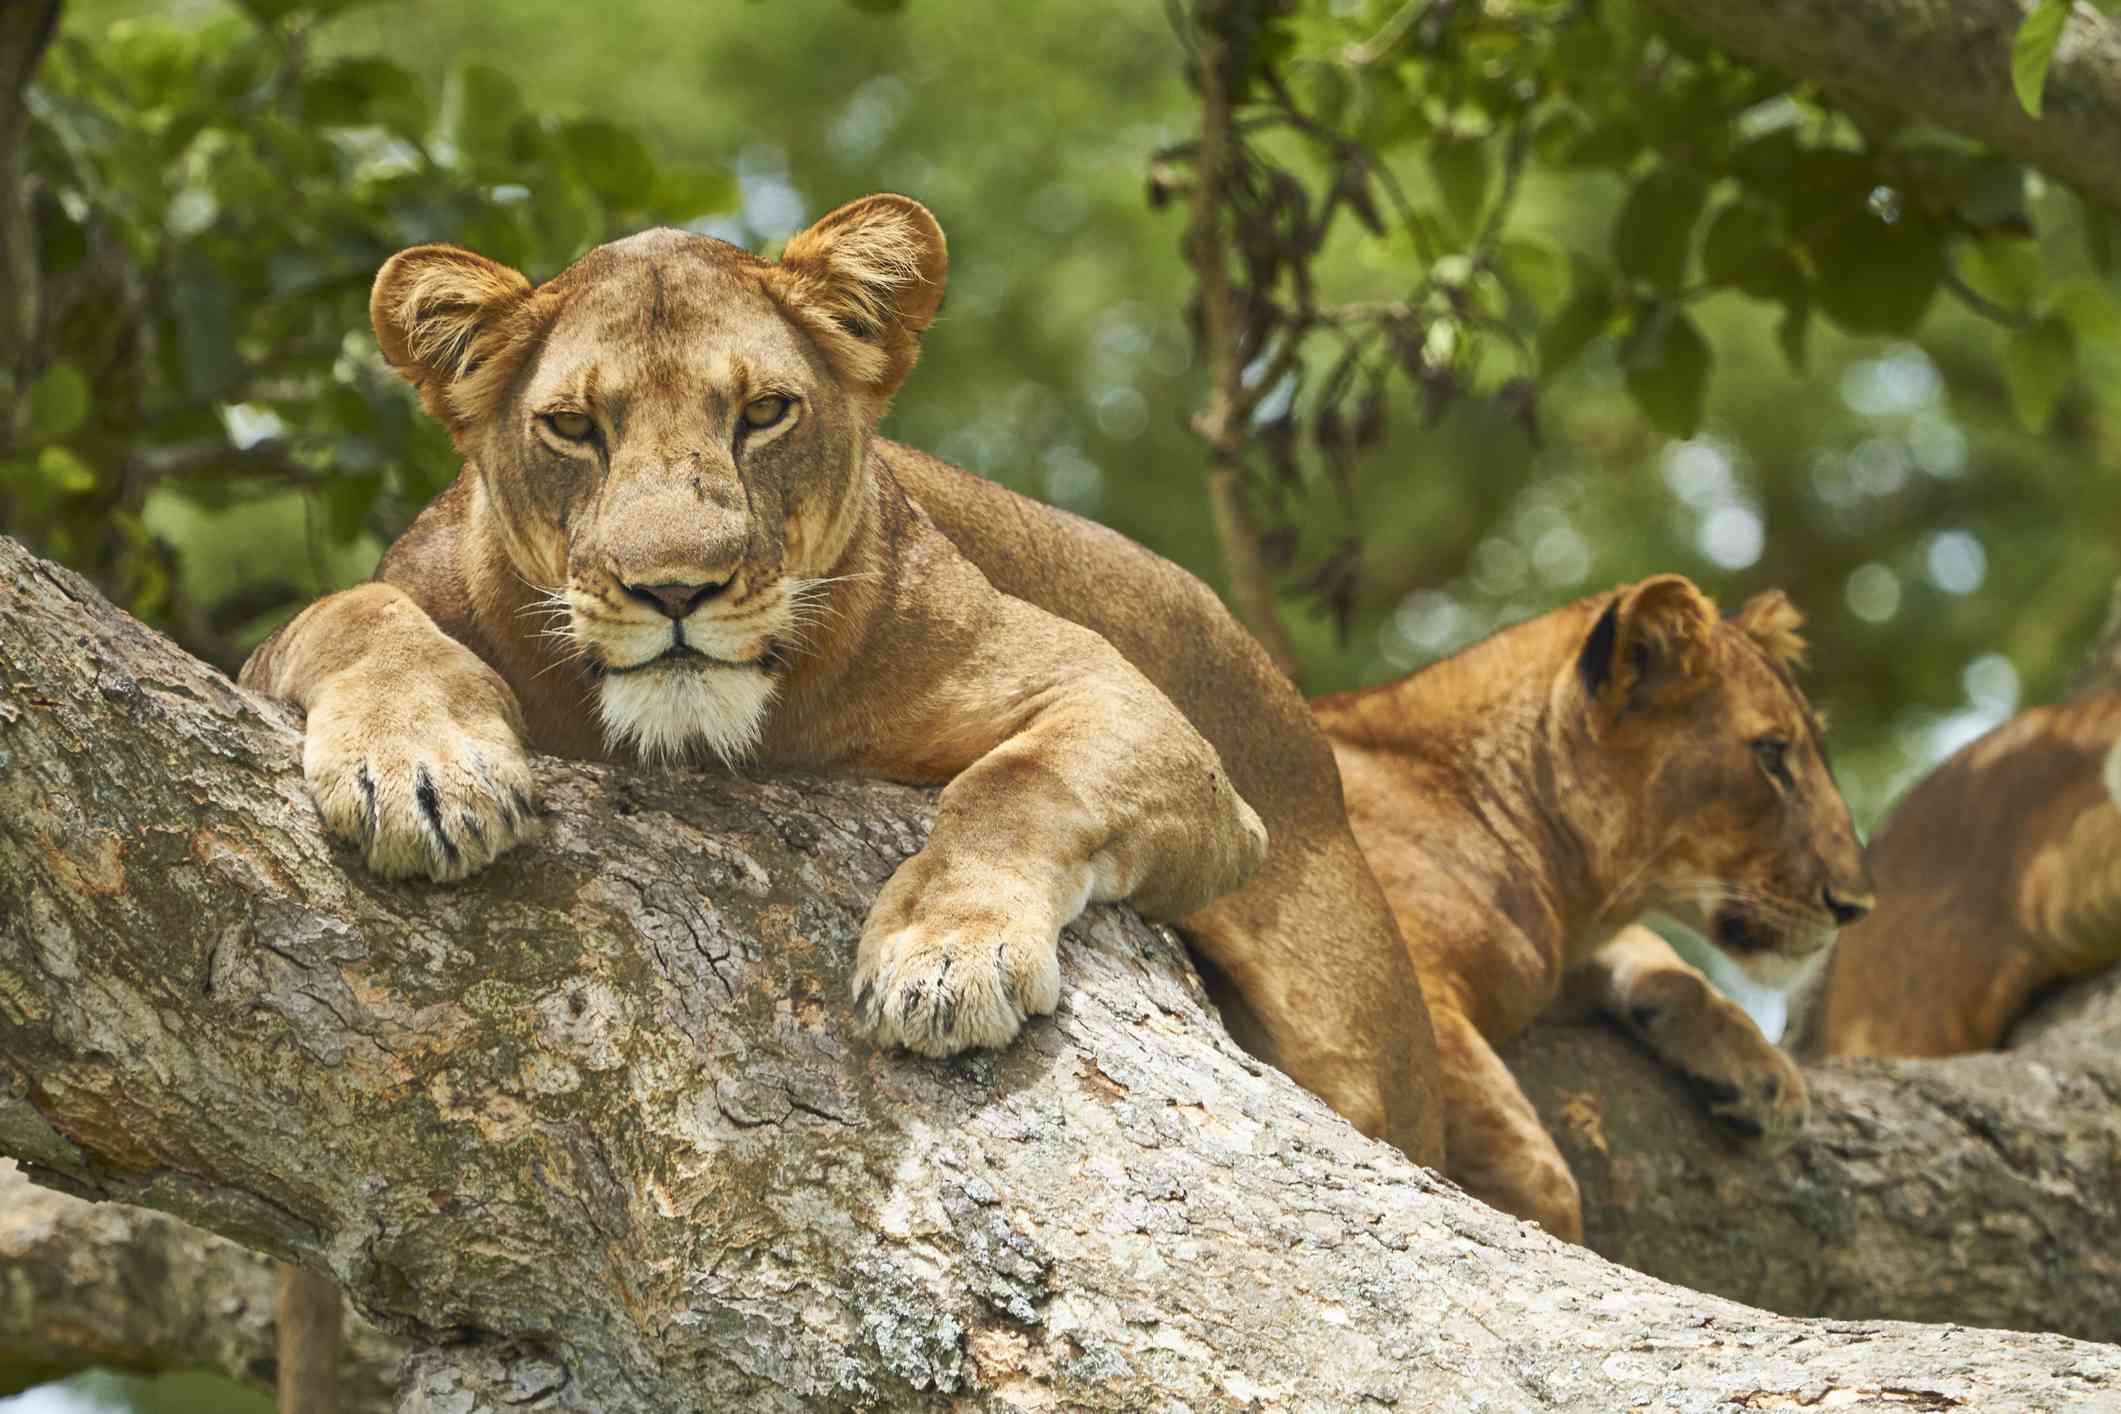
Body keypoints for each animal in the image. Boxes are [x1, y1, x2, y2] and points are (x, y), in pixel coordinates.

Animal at [240, 193, 1450, 1170]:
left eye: (763, 413)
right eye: (575, 428)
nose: (674, 588)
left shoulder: (1124, 704)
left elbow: (1016, 786)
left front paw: (946, 953)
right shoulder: (344, 621)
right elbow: (350, 613)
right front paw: (424, 770)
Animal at [1306, 576, 1874, 1238]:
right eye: (1772, 754)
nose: (1856, 905)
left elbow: (1660, 956)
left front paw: (1764, 1076)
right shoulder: (1405, 977)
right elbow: (1537, 1175)